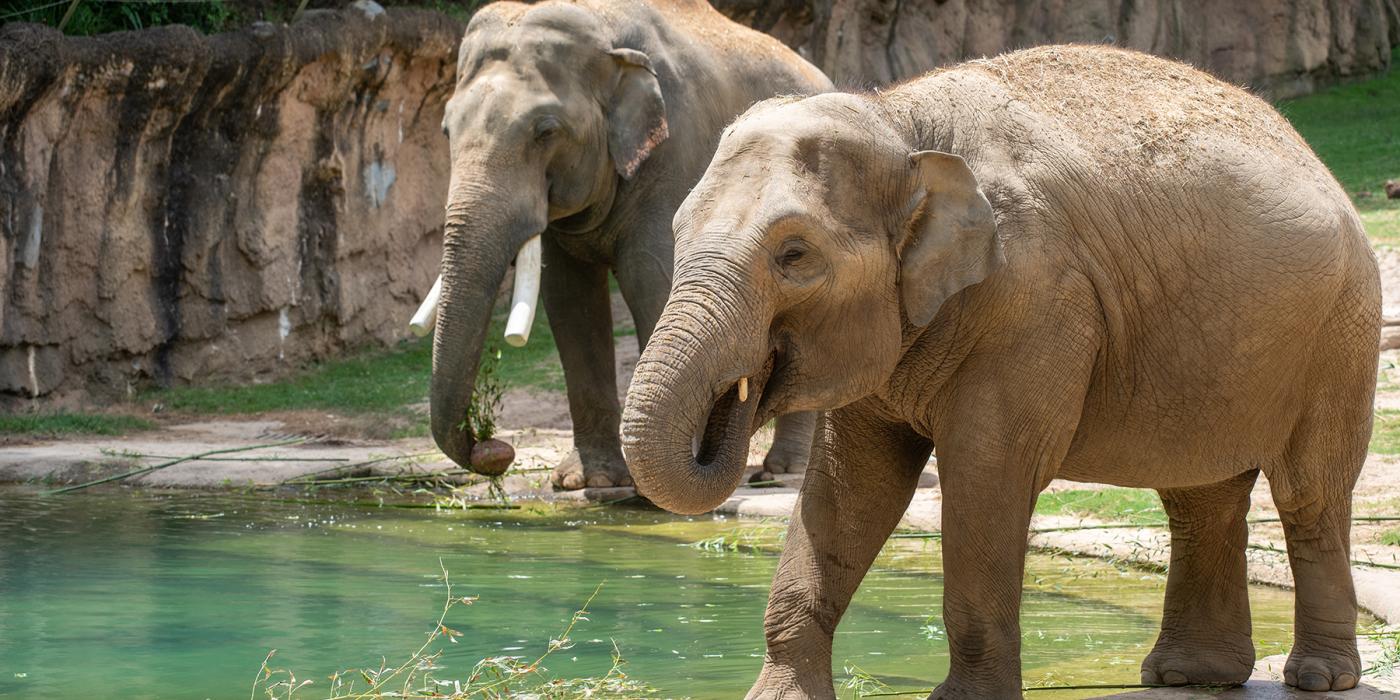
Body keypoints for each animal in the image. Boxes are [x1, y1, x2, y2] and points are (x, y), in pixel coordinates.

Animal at [428, 0, 828, 490]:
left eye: (546, 131)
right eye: (446, 130)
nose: (497, 449)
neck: (603, 30)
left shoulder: (675, 155)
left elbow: (650, 278)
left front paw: (658, 485)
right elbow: (569, 298)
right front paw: (589, 482)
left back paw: (781, 472)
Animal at [624, 46, 1377, 697]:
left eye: (794, 256)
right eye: (680, 231)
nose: (741, 394)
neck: (899, 123)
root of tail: (1313, 156)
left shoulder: (1036, 299)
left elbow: (987, 472)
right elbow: (850, 487)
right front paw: (780, 697)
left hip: (1341, 333)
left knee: (1309, 492)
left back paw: (1317, 678)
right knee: (1200, 496)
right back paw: (1188, 676)